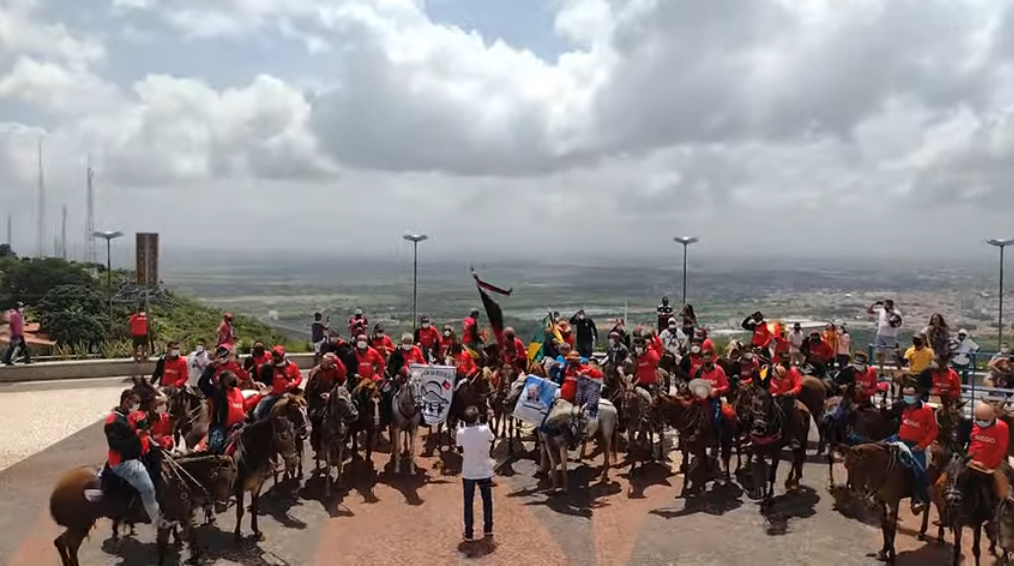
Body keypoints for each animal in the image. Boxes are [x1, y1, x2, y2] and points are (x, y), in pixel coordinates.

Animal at [50, 452, 236, 566]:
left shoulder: (180, 517)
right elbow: (163, 545)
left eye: (232, 477)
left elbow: (189, 537)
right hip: (80, 525)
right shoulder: (169, 519)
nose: (221, 506)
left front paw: (194, 557)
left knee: (61, 542)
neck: (177, 479)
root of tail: (58, 489)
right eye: (223, 478)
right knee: (70, 546)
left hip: (79, 525)